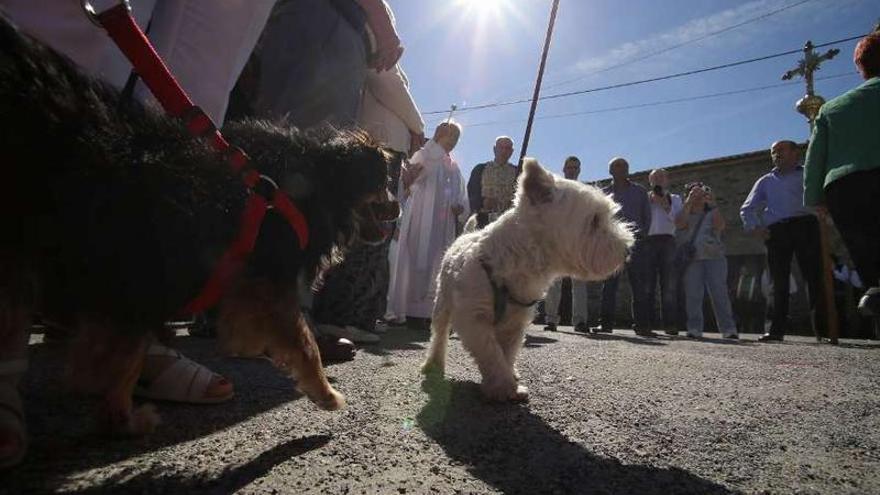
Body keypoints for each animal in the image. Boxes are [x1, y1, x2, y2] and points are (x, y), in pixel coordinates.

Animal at [0, 16, 392, 434]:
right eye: (386, 184)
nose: (398, 209)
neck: (309, 180)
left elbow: (129, 353)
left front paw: (119, 412)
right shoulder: (258, 279)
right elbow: (304, 343)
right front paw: (325, 393)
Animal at [422, 159, 632, 404]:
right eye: (595, 220)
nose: (627, 251)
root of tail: (463, 236)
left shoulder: (516, 322)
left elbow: (507, 353)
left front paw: (508, 381)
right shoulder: (473, 319)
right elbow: (491, 352)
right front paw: (503, 386)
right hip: (443, 303)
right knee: (439, 333)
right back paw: (433, 363)